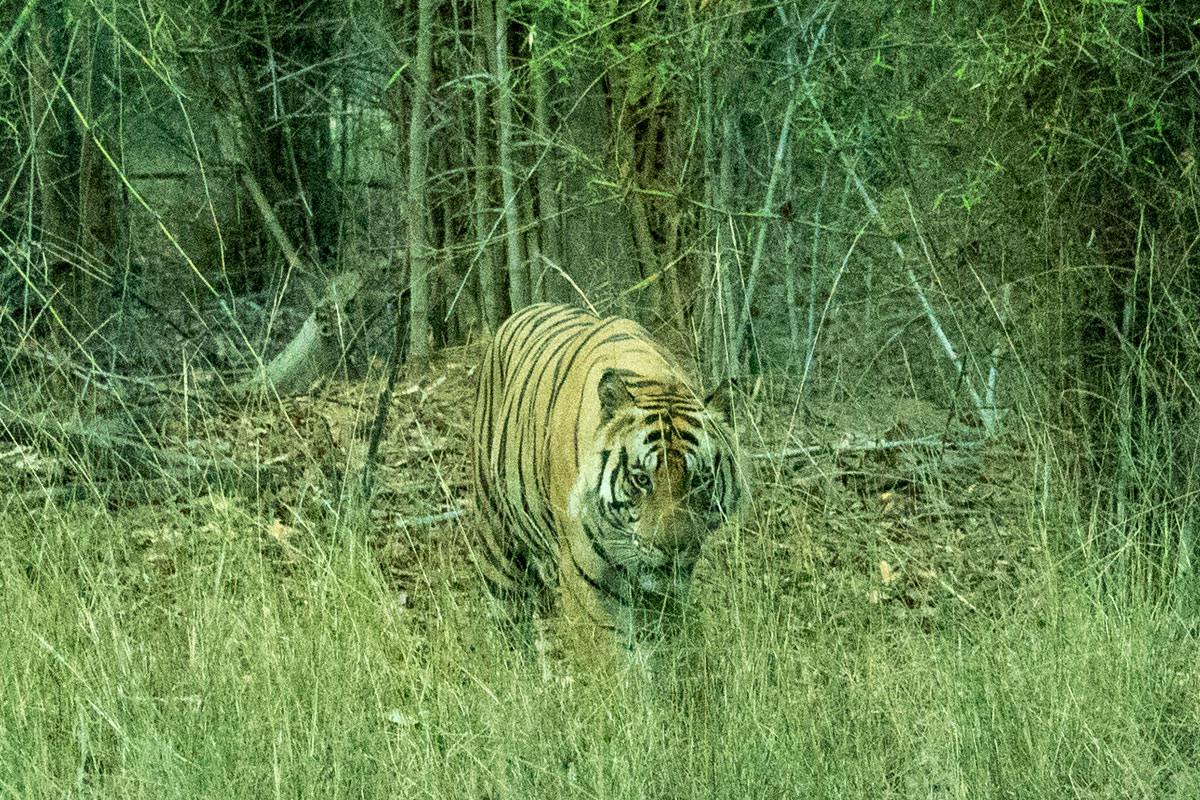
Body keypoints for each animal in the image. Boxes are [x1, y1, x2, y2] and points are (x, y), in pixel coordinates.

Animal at [470, 303, 741, 666]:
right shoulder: (587, 576)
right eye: (642, 479)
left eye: (699, 480)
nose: (673, 550)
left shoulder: (670, 589)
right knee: (510, 627)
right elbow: (612, 659)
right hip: (498, 545)